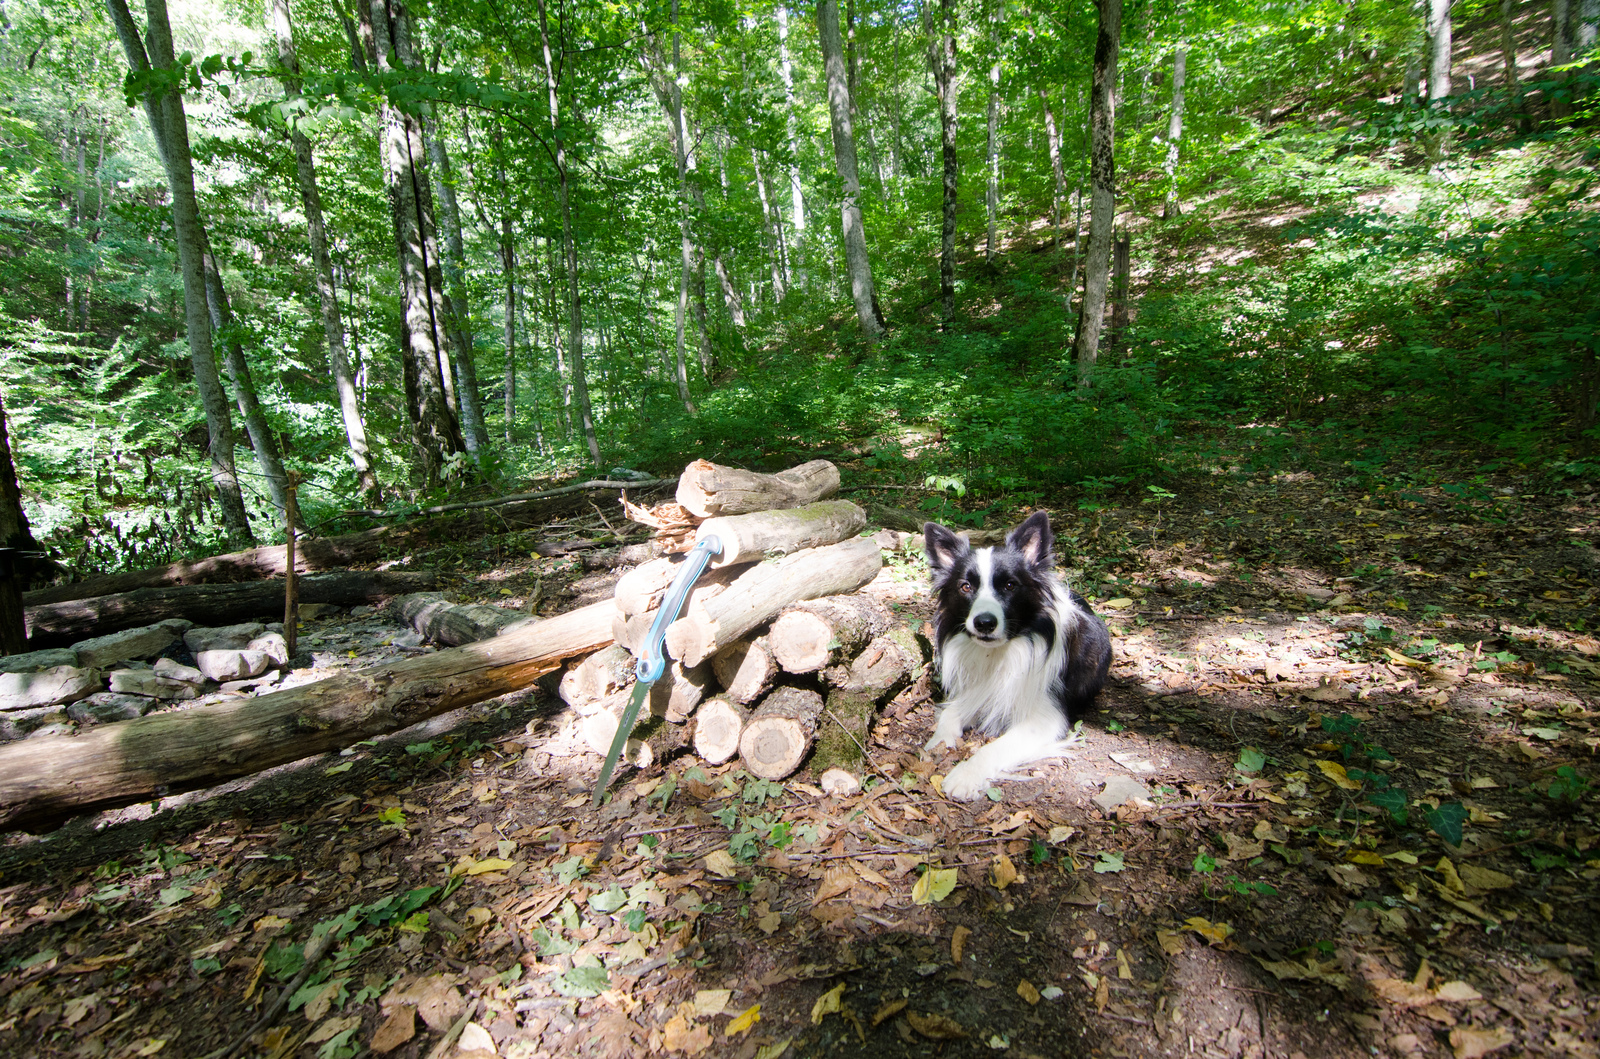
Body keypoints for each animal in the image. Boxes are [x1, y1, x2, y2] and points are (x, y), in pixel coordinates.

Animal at [928, 511, 1113, 799]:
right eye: (966, 587)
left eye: (1010, 585)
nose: (984, 623)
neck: (1000, 653)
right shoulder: (977, 691)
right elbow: (949, 716)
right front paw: (937, 742)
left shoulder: (1046, 718)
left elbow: (993, 748)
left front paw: (965, 775)